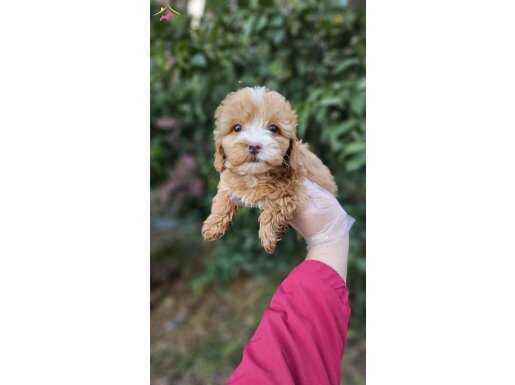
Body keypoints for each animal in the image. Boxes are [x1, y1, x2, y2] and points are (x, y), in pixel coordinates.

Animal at [202, 88, 338, 255]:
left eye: (273, 128)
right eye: (237, 128)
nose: (254, 145)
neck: (255, 175)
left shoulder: (292, 187)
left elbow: (277, 203)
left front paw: (268, 236)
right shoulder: (229, 181)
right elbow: (222, 197)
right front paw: (212, 225)